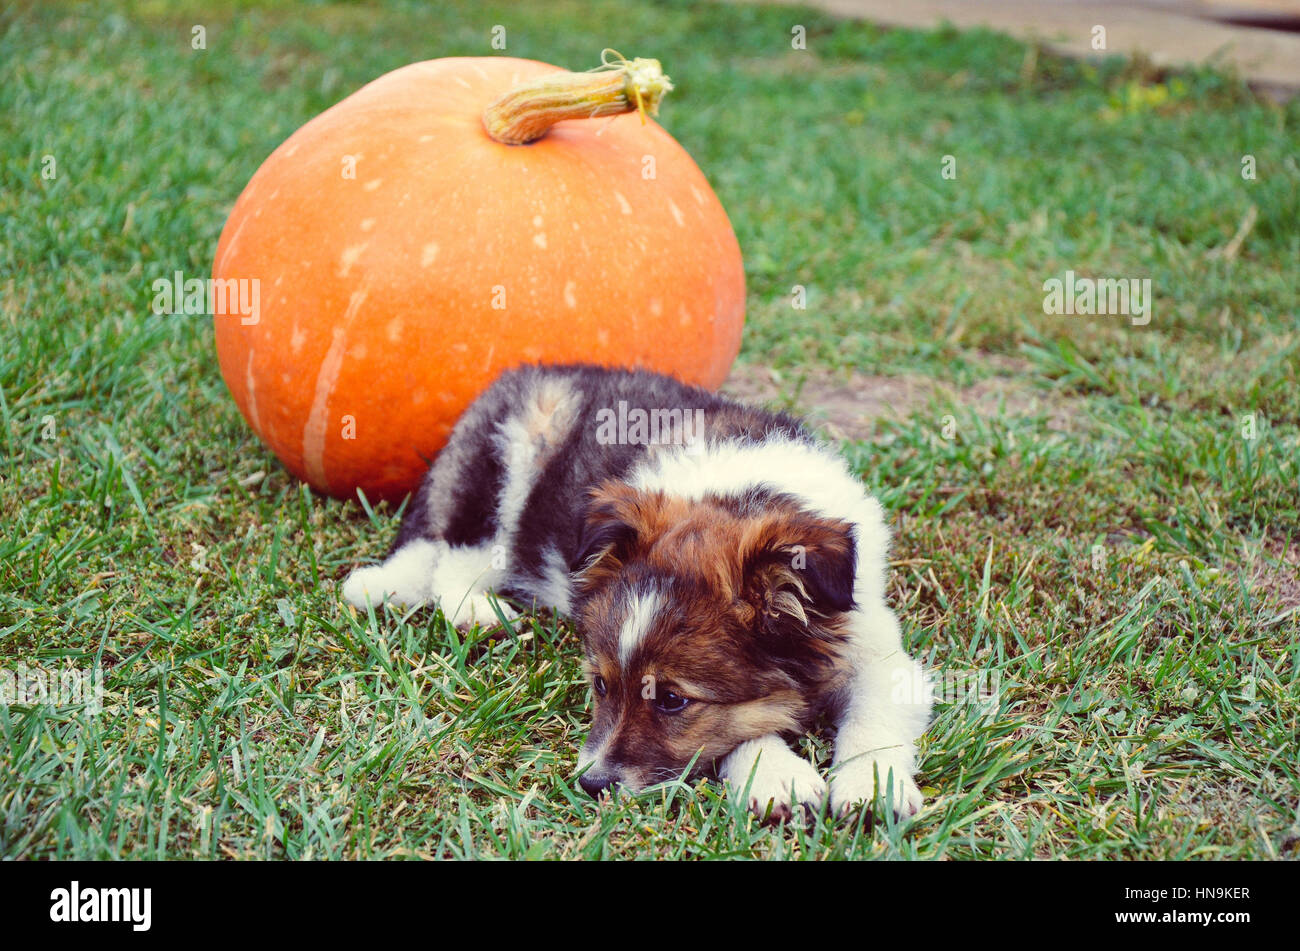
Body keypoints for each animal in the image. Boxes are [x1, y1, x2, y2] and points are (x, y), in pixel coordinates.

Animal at [343, 363, 935, 815]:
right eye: (601, 685)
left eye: (672, 700)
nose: (591, 784)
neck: (740, 494)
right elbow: (740, 730)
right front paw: (775, 775)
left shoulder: (875, 648)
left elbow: (875, 715)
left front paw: (872, 787)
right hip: (506, 456)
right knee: (453, 555)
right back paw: (478, 613)